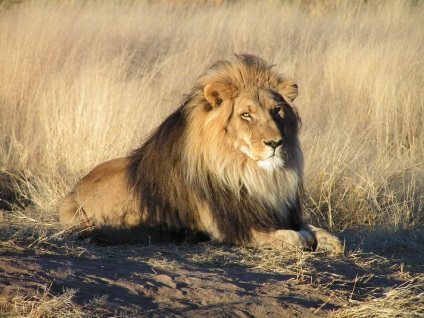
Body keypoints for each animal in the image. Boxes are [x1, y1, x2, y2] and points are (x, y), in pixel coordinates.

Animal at [59, 54, 342, 253]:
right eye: (246, 115)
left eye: (277, 111)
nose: (275, 143)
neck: (250, 174)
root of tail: (75, 187)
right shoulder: (233, 229)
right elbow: (296, 238)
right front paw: (306, 238)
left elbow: (322, 233)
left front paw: (328, 240)